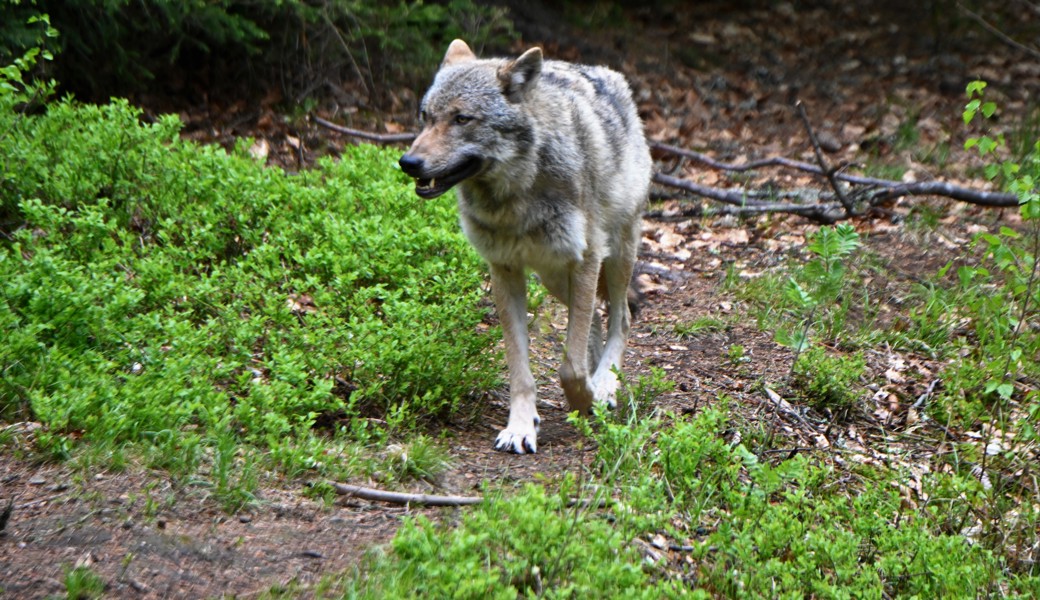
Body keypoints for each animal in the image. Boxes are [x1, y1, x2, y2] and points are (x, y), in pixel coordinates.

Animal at [399, 40, 652, 454]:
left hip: (615, 257)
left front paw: (588, 400)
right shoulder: (504, 270)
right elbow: (520, 368)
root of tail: (610, 76)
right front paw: (520, 427)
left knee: (621, 318)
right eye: (425, 116)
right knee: (596, 322)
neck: (515, 198)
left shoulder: (586, 259)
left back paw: (605, 384)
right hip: (555, 277)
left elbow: (570, 366)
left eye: (462, 119)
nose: (408, 162)